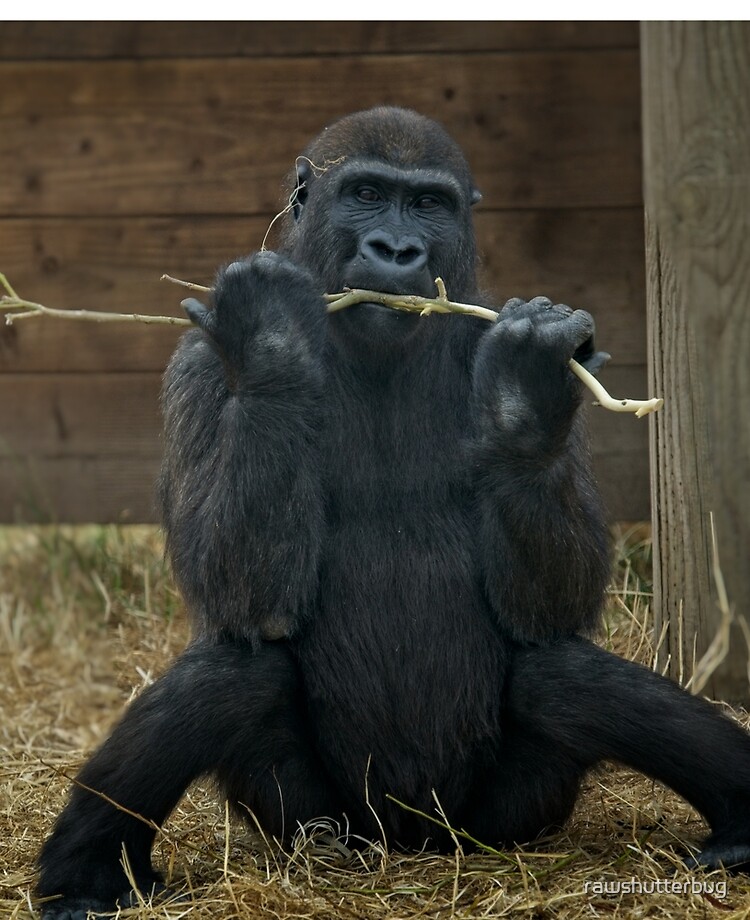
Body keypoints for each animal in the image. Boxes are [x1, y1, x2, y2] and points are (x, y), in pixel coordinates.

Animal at [38, 106, 750, 912]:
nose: (398, 249)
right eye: (368, 194)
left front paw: (525, 395)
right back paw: (86, 872)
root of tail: (412, 845)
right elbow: (241, 600)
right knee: (234, 677)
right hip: (315, 825)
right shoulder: (196, 365)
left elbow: (549, 609)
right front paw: (272, 338)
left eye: (429, 204)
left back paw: (738, 821)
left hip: (501, 820)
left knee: (563, 678)